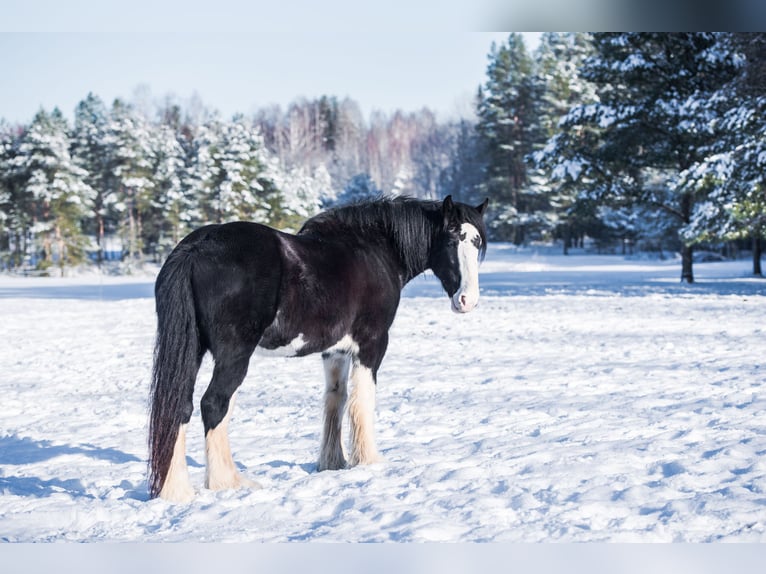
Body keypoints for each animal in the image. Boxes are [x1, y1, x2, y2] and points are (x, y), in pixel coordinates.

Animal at [147, 196, 488, 502]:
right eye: (452, 239)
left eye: (476, 242)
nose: (467, 300)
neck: (376, 250)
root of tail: (196, 248)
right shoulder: (372, 344)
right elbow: (362, 402)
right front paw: (368, 461)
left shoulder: (335, 351)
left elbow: (336, 400)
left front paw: (332, 462)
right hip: (234, 354)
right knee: (214, 404)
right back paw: (226, 482)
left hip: (192, 349)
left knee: (180, 406)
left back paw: (176, 491)